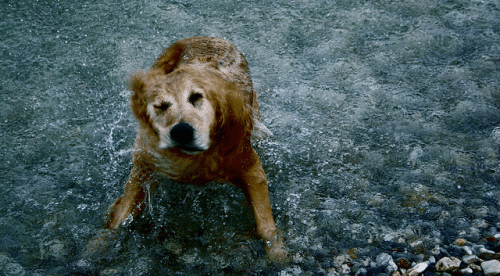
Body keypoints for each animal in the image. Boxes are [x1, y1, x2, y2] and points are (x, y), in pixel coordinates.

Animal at [91, 36, 286, 260]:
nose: (181, 131)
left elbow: (266, 226)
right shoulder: (146, 164)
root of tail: (206, 37)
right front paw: (97, 245)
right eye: (161, 105)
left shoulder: (249, 166)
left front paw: (279, 255)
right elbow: (120, 216)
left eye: (196, 97)